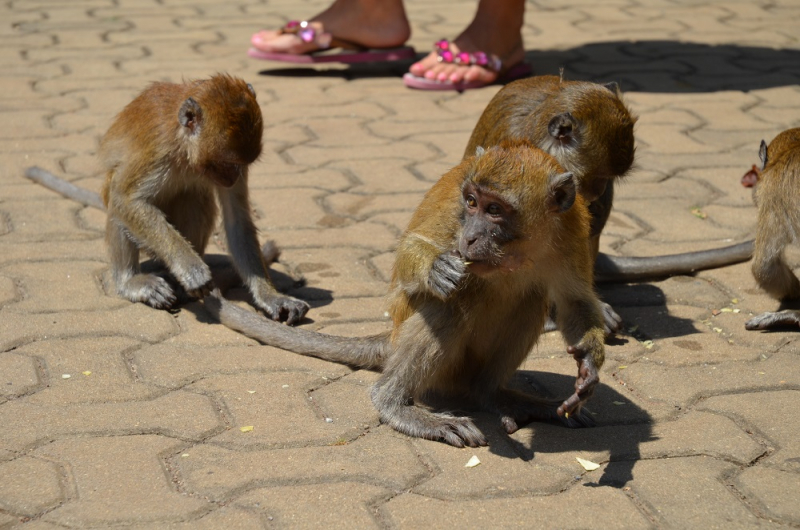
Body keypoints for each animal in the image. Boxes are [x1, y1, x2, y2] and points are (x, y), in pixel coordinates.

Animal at [24, 73, 306, 322]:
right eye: (227, 163)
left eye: (241, 165)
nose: (234, 177)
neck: (185, 149)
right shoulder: (159, 148)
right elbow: (126, 199)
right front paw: (190, 268)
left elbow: (237, 220)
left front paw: (271, 297)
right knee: (117, 202)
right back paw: (131, 281)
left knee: (195, 198)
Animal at [205, 143, 608, 446]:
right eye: (472, 202)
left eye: (495, 210)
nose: (470, 237)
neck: (521, 250)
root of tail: (393, 337)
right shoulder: (453, 216)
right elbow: (407, 260)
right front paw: (434, 268)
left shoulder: (571, 233)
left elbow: (575, 301)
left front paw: (589, 363)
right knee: (452, 303)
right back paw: (395, 403)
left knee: (530, 300)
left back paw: (491, 393)